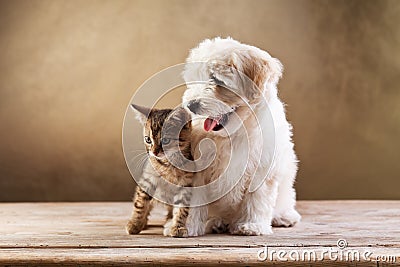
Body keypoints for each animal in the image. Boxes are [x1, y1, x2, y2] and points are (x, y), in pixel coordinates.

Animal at [125, 104, 194, 239]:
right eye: (148, 139)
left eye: (166, 140)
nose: (154, 152)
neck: (168, 165)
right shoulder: (147, 179)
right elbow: (140, 203)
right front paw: (135, 224)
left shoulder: (186, 184)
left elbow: (182, 208)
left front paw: (178, 226)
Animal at [176, 37, 300, 237]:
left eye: (216, 79)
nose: (191, 105)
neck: (232, 135)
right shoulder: (197, 168)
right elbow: (194, 200)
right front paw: (185, 226)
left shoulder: (263, 166)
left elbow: (258, 198)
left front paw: (252, 225)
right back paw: (216, 222)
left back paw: (284, 216)